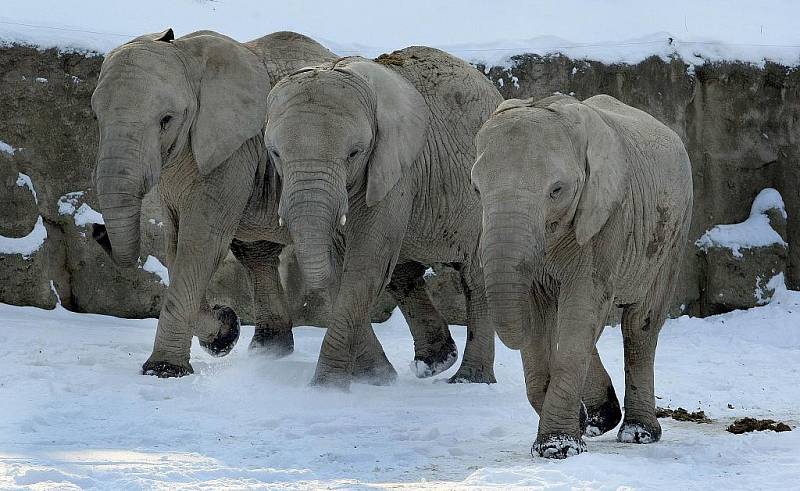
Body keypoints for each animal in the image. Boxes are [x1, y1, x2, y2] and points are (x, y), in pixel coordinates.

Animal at [88, 28, 460, 378]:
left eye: (166, 119)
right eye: (96, 118)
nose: (95, 231)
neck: (188, 52)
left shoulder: (233, 151)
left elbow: (201, 244)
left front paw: (164, 370)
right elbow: (176, 244)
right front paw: (224, 334)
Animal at [472, 94, 692, 460]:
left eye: (557, 190)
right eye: (476, 189)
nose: (583, 417)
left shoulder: (608, 217)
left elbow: (581, 309)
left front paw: (558, 448)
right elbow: (544, 313)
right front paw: (576, 427)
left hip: (673, 235)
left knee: (639, 326)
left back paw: (638, 434)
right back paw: (600, 421)